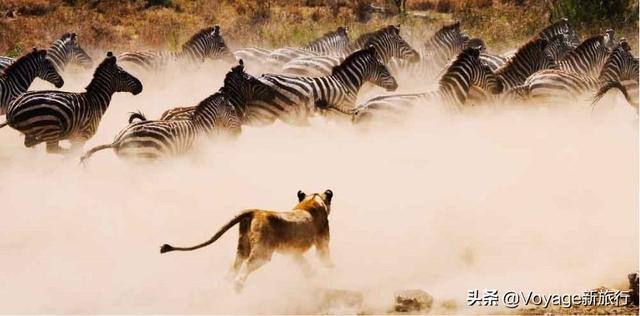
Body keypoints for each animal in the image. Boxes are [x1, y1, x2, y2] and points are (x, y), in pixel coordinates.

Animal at [1, 52, 142, 154]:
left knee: (30, 143)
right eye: (124, 74)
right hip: (50, 127)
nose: (140, 86)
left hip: (34, 131)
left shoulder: (76, 139)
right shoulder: (81, 137)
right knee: (52, 149)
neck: (95, 101)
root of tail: (13, 108)